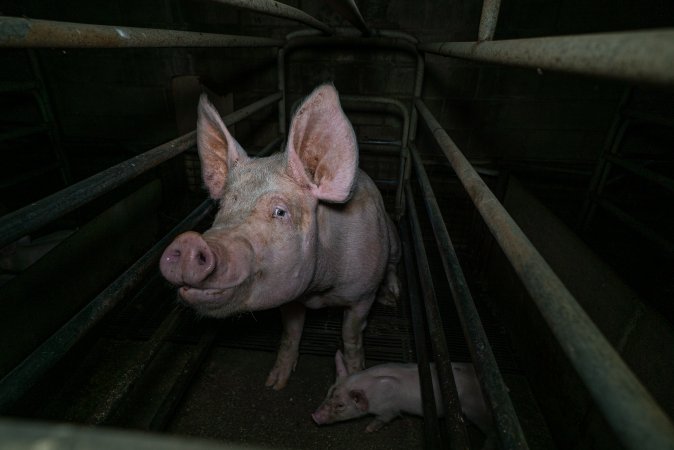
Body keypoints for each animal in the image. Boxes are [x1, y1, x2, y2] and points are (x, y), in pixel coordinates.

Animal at [158, 84, 400, 390]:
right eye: (222, 206)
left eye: (280, 211)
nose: (189, 241)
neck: (319, 291)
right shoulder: (290, 296)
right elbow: (291, 332)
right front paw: (275, 383)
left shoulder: (363, 295)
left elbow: (351, 335)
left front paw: (356, 374)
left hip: (392, 241)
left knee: (392, 264)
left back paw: (392, 297)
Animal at [312, 350, 494, 438]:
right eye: (329, 392)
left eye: (340, 405)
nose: (314, 416)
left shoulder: (389, 410)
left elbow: (383, 419)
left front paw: (368, 430)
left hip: (478, 412)